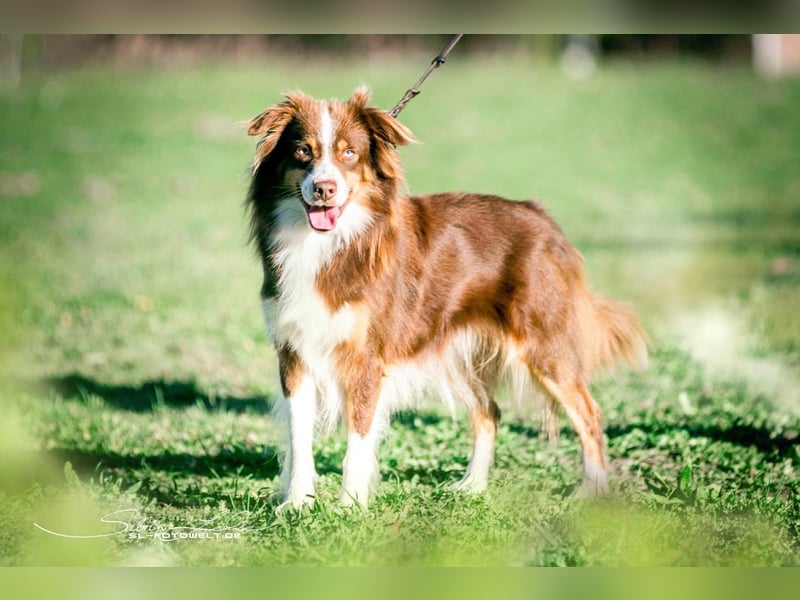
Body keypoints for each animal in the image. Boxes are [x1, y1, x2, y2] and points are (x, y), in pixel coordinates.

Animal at [245, 86, 648, 508]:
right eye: (302, 151)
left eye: (349, 153)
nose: (325, 189)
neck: (328, 243)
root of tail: (543, 218)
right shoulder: (293, 352)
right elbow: (298, 438)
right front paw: (296, 504)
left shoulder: (367, 358)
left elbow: (357, 441)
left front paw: (350, 507)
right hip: (460, 351)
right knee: (490, 412)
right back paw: (473, 486)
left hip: (545, 344)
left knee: (589, 413)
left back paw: (592, 491)